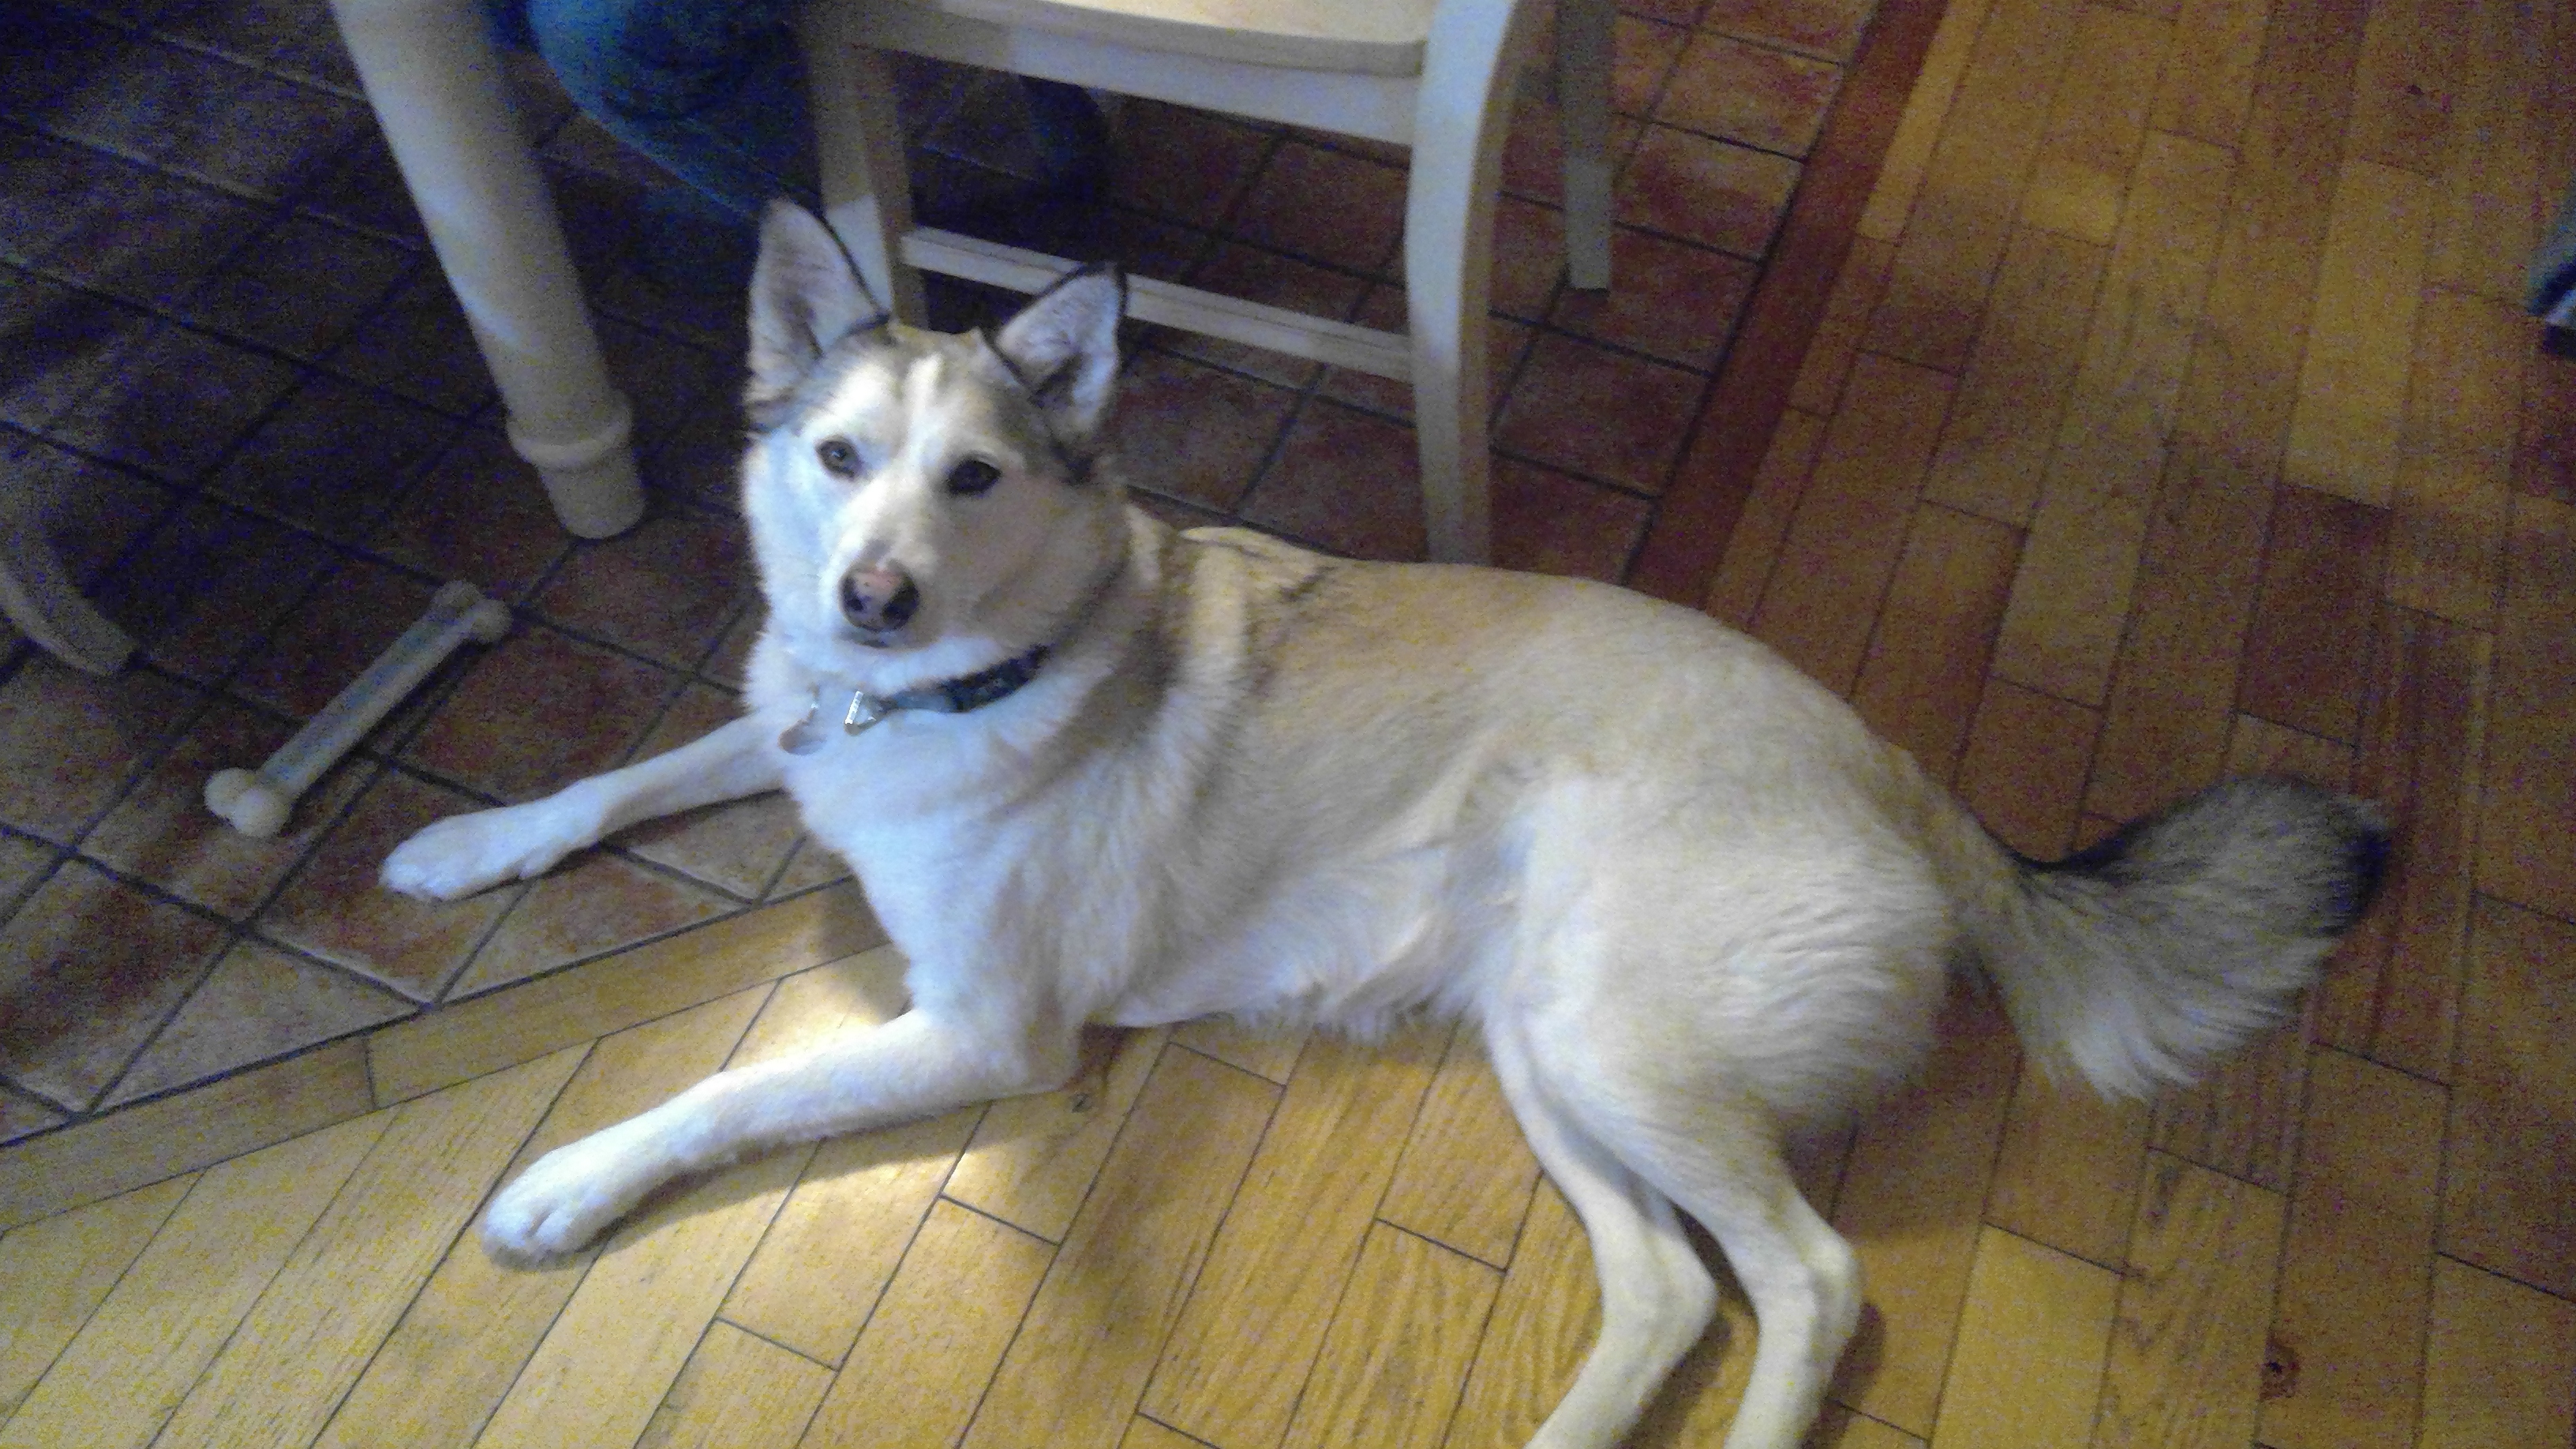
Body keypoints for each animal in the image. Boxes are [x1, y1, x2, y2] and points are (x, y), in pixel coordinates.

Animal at [382, 201, 2388, 1449]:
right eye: (839, 458)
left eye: (975, 477)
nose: (872, 599)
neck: (959, 678)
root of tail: (1904, 770)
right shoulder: (796, 723)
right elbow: (636, 774)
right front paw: (454, 852)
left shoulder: (983, 1033)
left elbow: (736, 1092)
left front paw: (571, 1179)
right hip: (1546, 1046)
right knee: (1668, 1290)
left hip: (1616, 1042)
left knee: (1808, 1285)